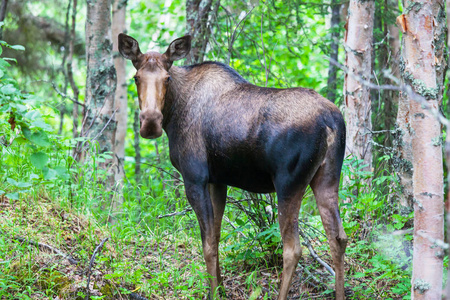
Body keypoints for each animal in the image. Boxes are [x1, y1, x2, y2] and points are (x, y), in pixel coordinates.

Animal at [118, 34, 346, 298]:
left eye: (167, 78)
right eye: (136, 77)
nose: (150, 123)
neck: (174, 112)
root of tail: (331, 122)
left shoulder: (194, 177)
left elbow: (207, 244)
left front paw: (214, 293)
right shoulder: (218, 180)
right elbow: (216, 237)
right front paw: (220, 288)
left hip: (289, 183)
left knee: (293, 248)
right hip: (327, 178)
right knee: (338, 238)